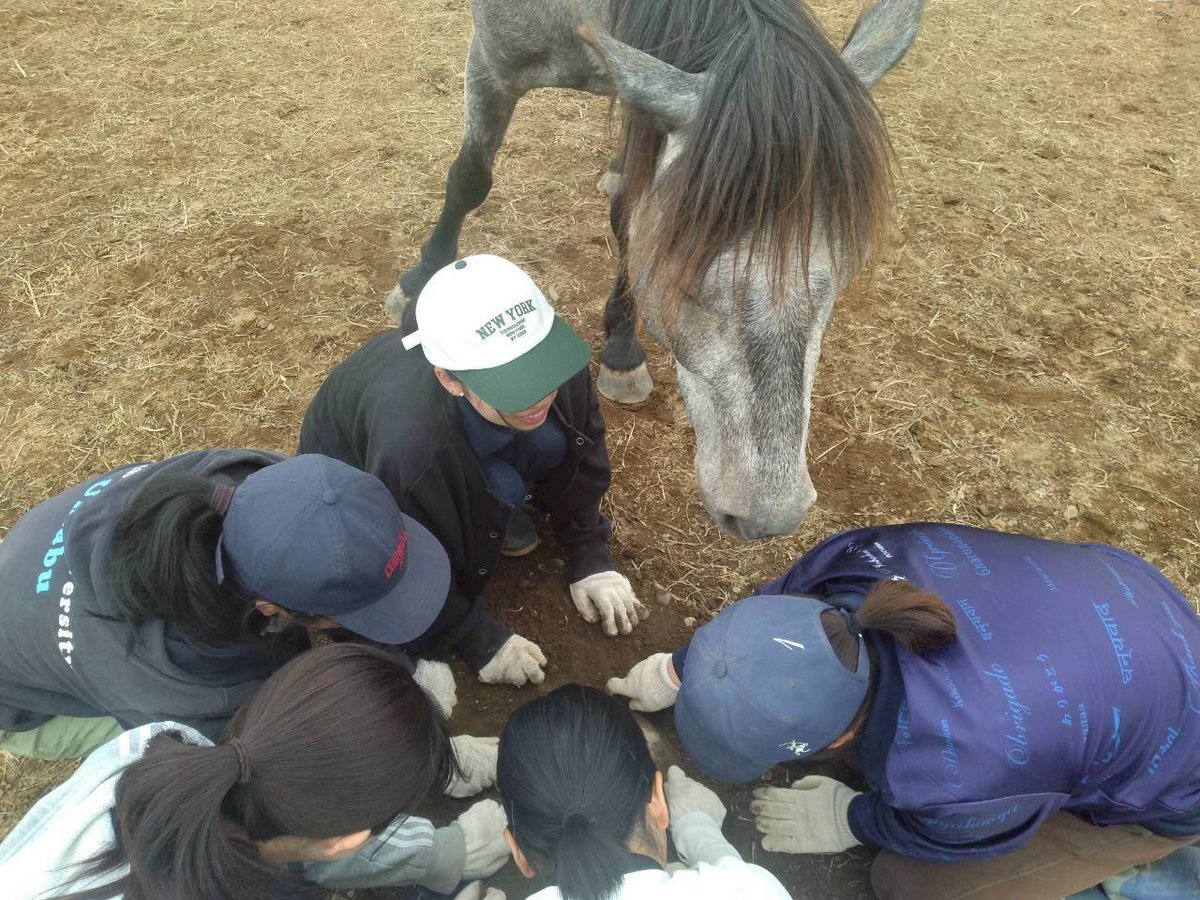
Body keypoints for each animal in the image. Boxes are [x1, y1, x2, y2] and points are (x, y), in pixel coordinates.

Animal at [391, 0, 925, 539]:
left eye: (841, 279)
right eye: (684, 282)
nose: (768, 515)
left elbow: (630, 210)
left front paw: (622, 348)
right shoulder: (492, 64)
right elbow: (469, 178)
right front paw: (421, 285)